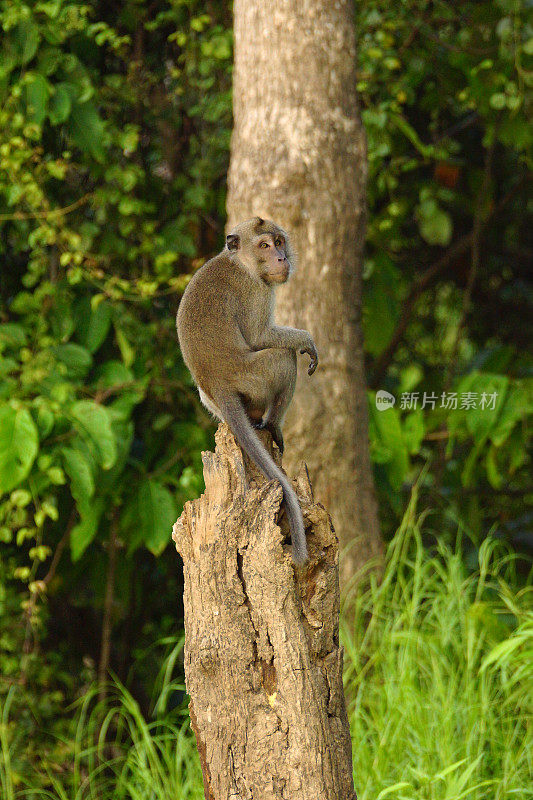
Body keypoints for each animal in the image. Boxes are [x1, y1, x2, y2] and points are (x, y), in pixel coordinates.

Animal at [176, 217, 316, 564]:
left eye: (278, 241)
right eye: (264, 245)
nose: (281, 257)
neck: (241, 262)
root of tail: (219, 383)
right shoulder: (256, 292)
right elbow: (259, 335)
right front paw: (306, 339)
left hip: (213, 397)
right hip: (255, 377)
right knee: (283, 358)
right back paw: (272, 424)